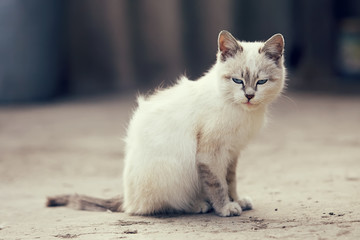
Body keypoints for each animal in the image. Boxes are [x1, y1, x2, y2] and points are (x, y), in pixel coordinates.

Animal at [47, 30, 286, 218]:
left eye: (261, 82)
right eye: (237, 80)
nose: (249, 96)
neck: (242, 112)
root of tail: (127, 198)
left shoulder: (232, 152)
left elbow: (231, 181)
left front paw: (237, 200)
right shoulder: (210, 154)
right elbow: (217, 184)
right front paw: (226, 207)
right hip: (175, 169)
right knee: (159, 206)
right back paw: (198, 205)